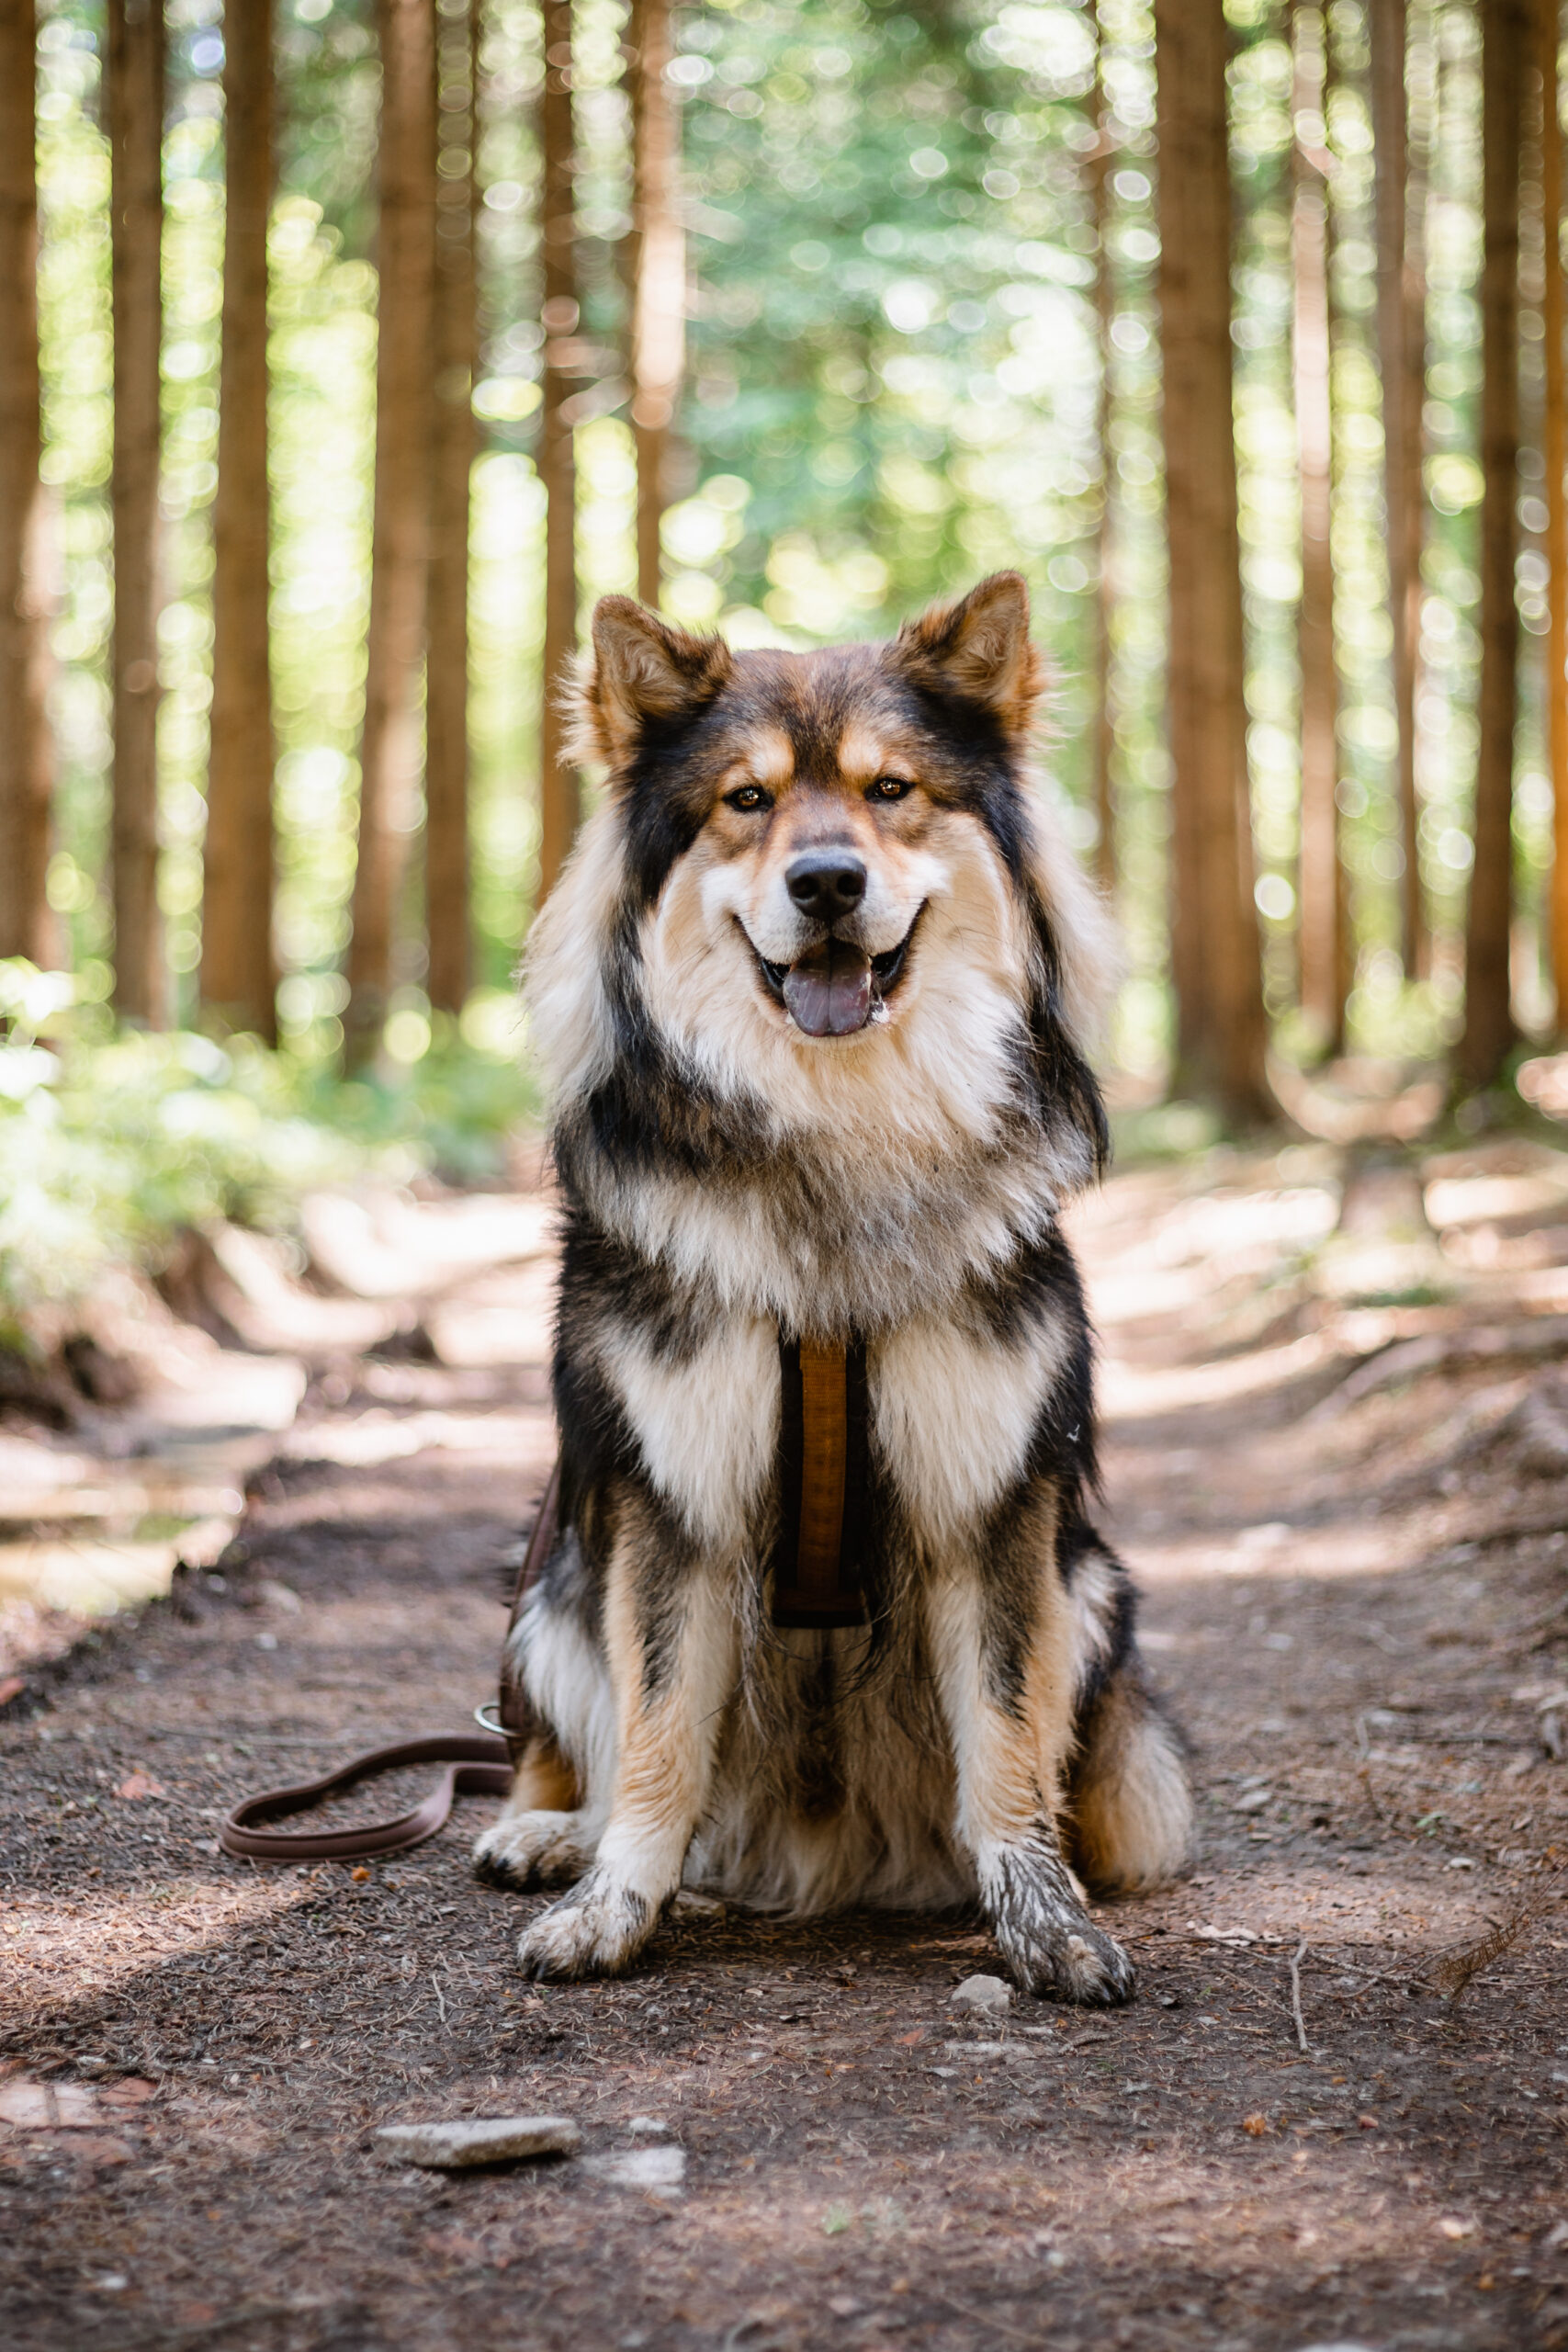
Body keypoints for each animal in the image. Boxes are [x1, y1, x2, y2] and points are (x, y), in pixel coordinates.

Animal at [474, 573, 1189, 2004]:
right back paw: (549, 1831)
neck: (834, 1135)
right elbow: (657, 1732)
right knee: (579, 1745)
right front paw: (612, 1904)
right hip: (549, 1586)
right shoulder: (672, 1500)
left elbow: (1006, 1737)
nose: (825, 882)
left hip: (1092, 1589)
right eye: (746, 800)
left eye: (890, 790)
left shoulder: (992, 1502)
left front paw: (1042, 1918)